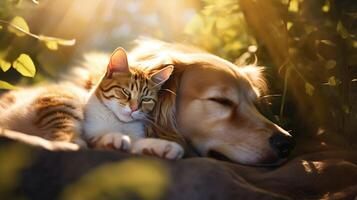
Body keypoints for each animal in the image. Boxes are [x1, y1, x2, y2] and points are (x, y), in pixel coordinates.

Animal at [0, 47, 184, 160]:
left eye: (146, 99)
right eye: (125, 92)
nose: (133, 109)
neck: (118, 123)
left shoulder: (135, 138)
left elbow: (139, 144)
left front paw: (163, 147)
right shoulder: (90, 133)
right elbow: (98, 139)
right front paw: (114, 139)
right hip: (63, 104)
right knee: (60, 138)